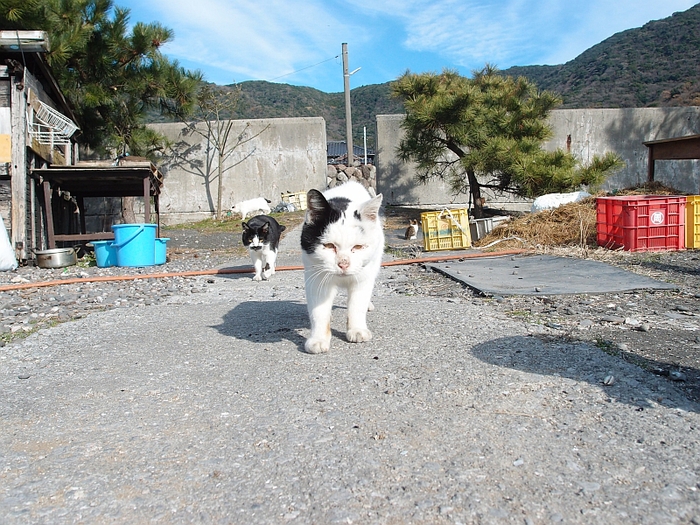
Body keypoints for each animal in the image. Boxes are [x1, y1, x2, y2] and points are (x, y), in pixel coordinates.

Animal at [298, 178, 380, 354]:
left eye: (358, 247)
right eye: (329, 246)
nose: (343, 263)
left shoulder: (363, 278)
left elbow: (357, 305)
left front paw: (357, 330)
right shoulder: (315, 278)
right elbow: (318, 311)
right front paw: (318, 339)